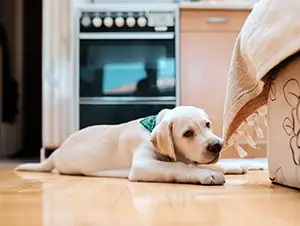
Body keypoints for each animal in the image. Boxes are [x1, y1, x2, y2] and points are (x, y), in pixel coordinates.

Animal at [14, 106, 246, 185]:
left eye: (207, 125)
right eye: (187, 133)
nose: (217, 146)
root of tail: (57, 151)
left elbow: (206, 163)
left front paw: (232, 166)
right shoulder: (143, 164)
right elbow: (179, 166)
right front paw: (207, 174)